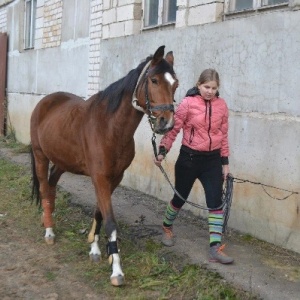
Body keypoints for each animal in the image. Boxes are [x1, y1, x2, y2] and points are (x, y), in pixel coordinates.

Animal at [29, 45, 178, 288]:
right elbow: (110, 221)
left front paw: (95, 249)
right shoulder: (99, 178)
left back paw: (46, 217)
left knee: (50, 186)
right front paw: (116, 270)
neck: (109, 126)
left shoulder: (114, 178)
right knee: (43, 187)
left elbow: (99, 213)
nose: (167, 123)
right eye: (154, 80)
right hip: (41, 156)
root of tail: (46, 102)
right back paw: (49, 231)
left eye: (175, 84)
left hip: (62, 161)